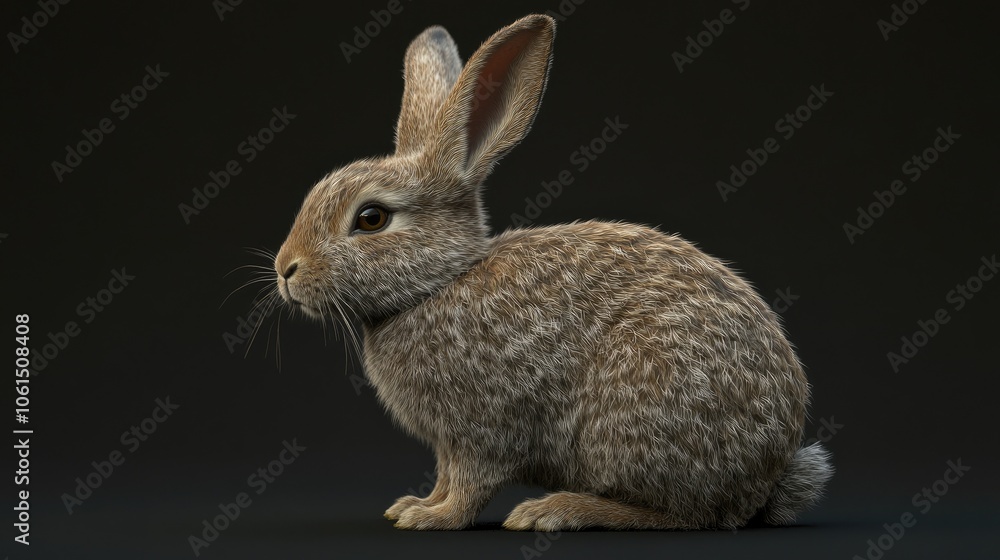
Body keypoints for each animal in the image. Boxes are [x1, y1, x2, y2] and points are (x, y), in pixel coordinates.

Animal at [273, 14, 832, 531]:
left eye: (371, 218)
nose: (284, 270)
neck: (438, 283)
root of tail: (767, 476)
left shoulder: (485, 428)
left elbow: (470, 484)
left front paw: (433, 518)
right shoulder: (448, 444)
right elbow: (446, 476)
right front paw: (415, 505)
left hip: (635, 421)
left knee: (681, 515)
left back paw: (554, 510)